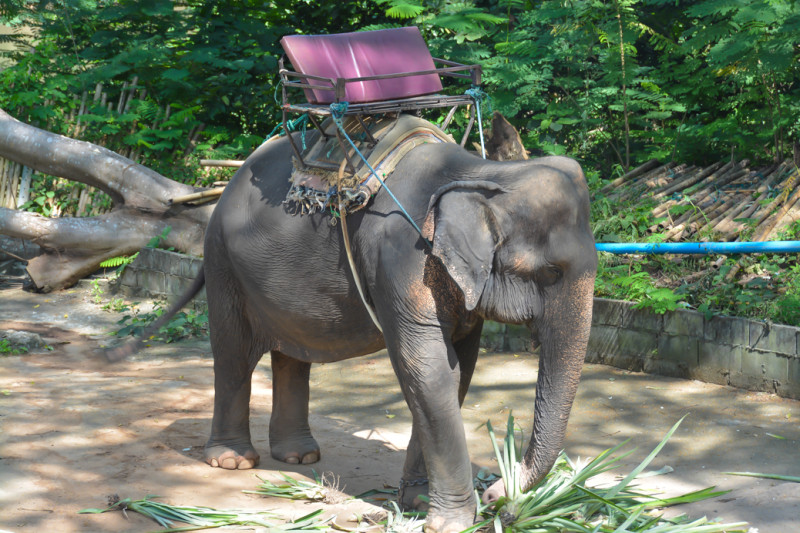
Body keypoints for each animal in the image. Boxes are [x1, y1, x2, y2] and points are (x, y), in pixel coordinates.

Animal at [119, 130, 596, 532]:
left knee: (292, 353)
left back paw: (298, 455)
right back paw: (233, 462)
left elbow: (458, 371)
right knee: (234, 354)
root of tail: (228, 183)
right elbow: (426, 370)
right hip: (224, 264)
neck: (482, 172)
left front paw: (420, 504)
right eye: (551, 272)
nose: (499, 494)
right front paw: (451, 523)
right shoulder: (402, 260)